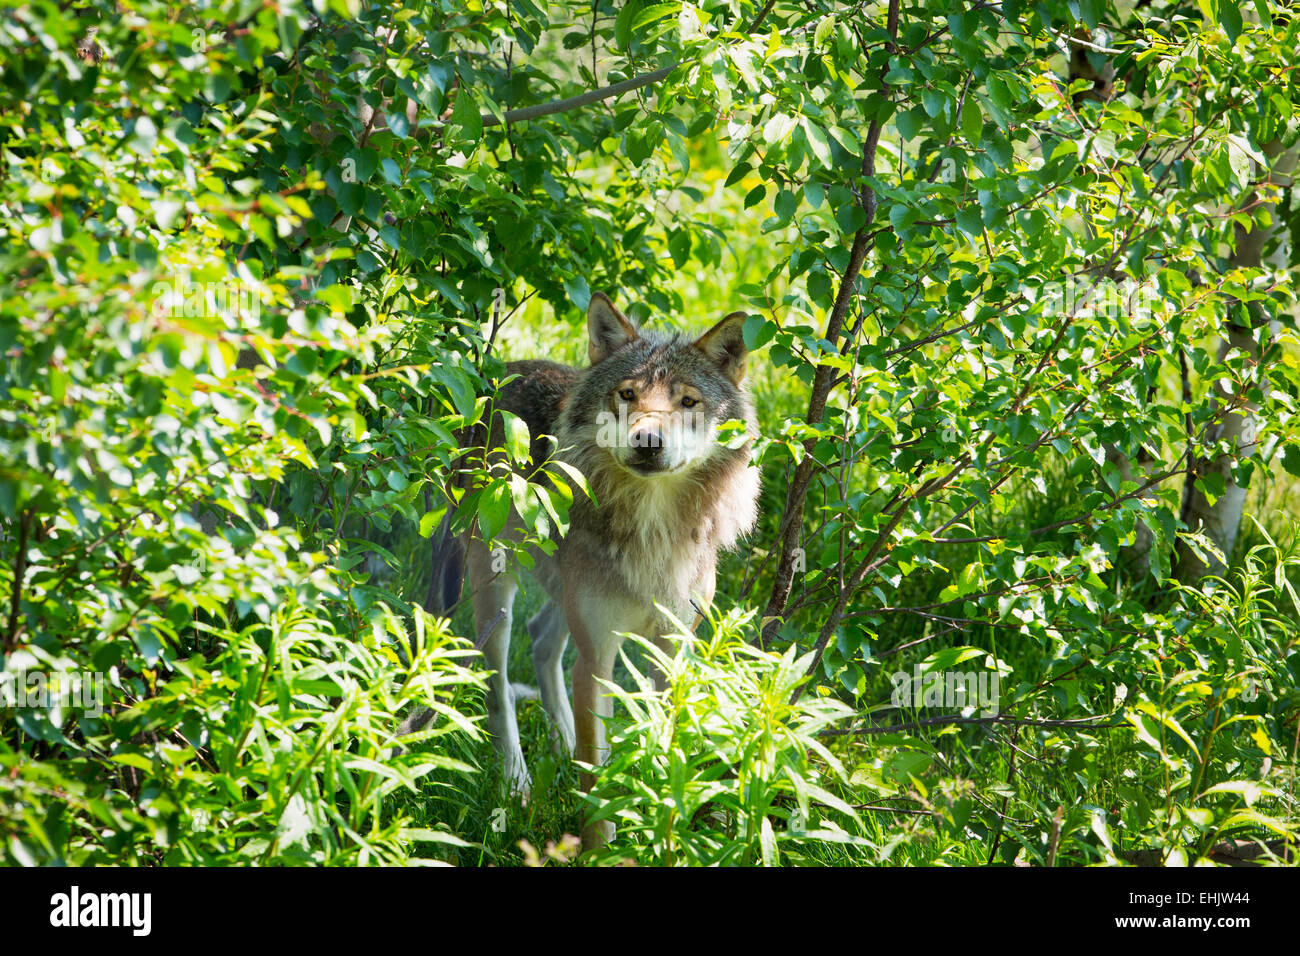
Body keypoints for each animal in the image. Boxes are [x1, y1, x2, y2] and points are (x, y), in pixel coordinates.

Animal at [425, 292, 760, 848]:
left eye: (688, 403)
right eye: (627, 394)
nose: (648, 441)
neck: (652, 529)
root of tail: (497, 376)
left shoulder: (671, 656)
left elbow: (660, 754)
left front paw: (662, 834)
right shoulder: (597, 662)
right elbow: (597, 779)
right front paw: (601, 849)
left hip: (564, 596)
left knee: (541, 640)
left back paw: (559, 747)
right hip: (497, 588)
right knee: (499, 682)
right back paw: (516, 782)